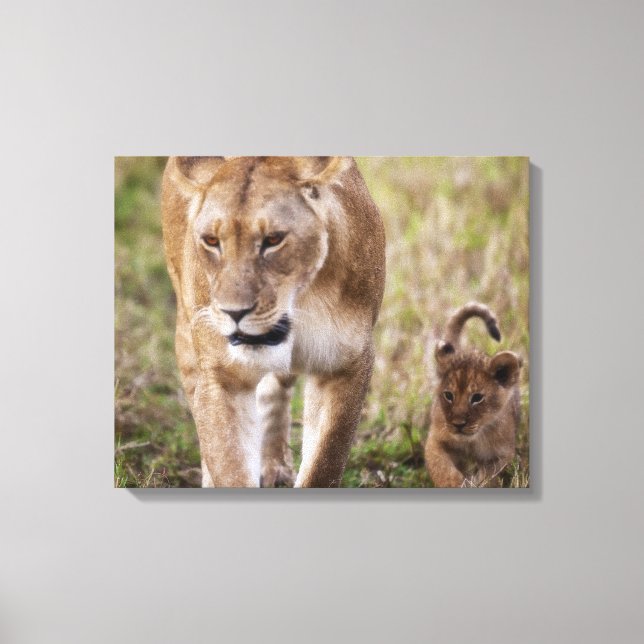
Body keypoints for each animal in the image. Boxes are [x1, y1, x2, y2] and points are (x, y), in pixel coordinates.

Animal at [161, 156, 385, 487]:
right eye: (212, 241)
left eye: (274, 240)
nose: (234, 312)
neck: (301, 303)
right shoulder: (222, 375)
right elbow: (228, 462)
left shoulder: (345, 365)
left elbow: (325, 463)